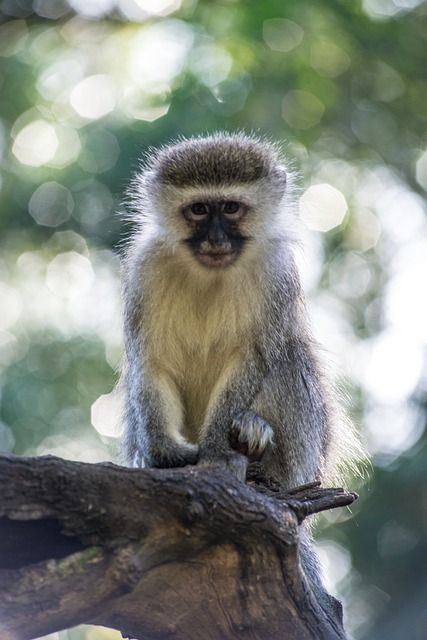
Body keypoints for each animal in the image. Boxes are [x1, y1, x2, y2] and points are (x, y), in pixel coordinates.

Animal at [118, 130, 360, 492]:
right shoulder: (146, 268)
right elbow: (152, 363)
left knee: (288, 357)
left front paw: (218, 450)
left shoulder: (276, 271)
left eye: (231, 208)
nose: (216, 240)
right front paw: (162, 451)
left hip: (301, 459)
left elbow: (252, 359)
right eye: (199, 209)